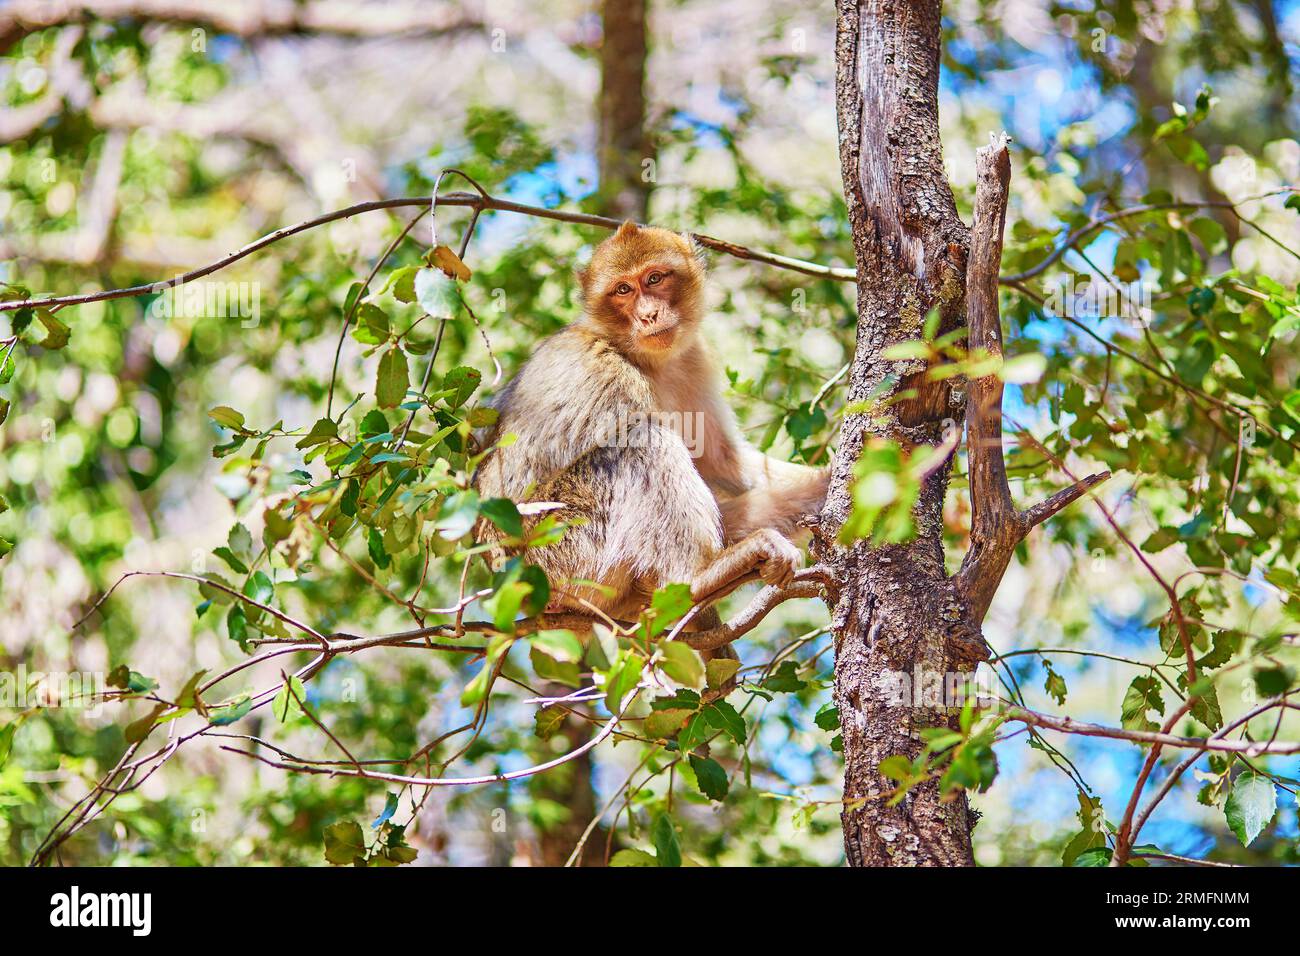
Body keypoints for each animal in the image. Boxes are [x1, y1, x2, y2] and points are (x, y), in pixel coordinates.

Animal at [473, 219, 826, 642]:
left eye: (655, 278)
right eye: (623, 290)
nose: (648, 314)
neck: (641, 357)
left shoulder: (693, 360)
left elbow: (726, 465)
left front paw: (839, 476)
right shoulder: (608, 374)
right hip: (559, 553)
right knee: (639, 440)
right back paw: (698, 577)